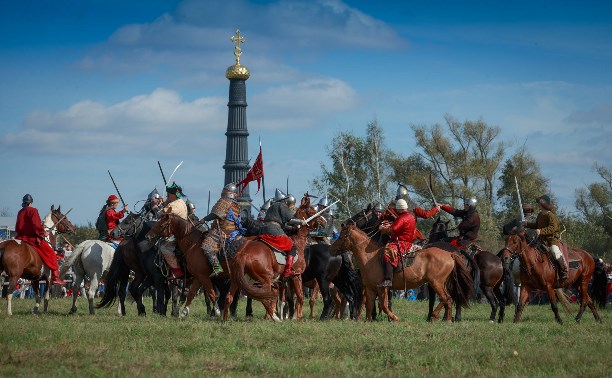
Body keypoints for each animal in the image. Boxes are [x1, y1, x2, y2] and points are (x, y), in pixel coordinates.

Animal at [330, 223, 474, 324]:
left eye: (342, 237)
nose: (331, 249)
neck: (369, 257)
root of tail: (450, 254)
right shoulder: (370, 288)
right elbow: (369, 304)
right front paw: (367, 320)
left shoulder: (382, 288)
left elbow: (384, 305)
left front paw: (394, 318)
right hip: (440, 283)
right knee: (449, 299)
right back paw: (447, 319)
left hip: (436, 283)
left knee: (446, 298)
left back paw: (434, 316)